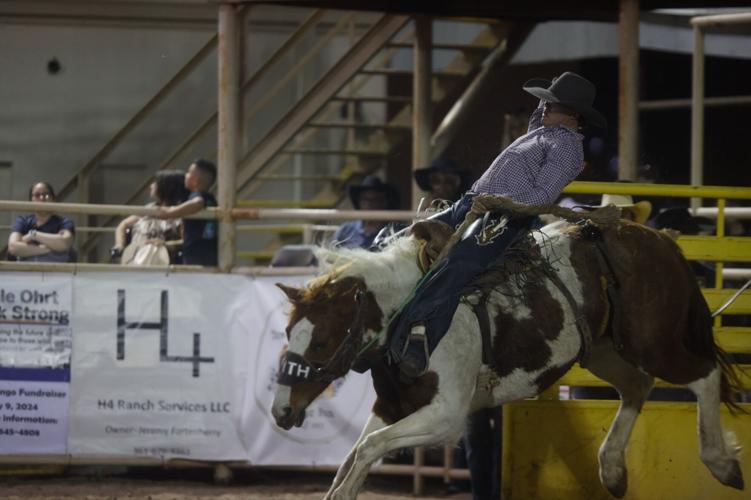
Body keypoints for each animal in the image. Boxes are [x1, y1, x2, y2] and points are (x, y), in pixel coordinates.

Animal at [268, 217, 740, 498]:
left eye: (322, 342)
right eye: (289, 334)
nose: (280, 411)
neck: (412, 310)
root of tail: (661, 240)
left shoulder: (445, 415)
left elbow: (368, 448)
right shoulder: (392, 407)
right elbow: (354, 455)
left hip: (655, 343)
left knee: (704, 376)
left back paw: (722, 463)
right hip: (605, 351)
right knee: (637, 387)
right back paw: (612, 470)